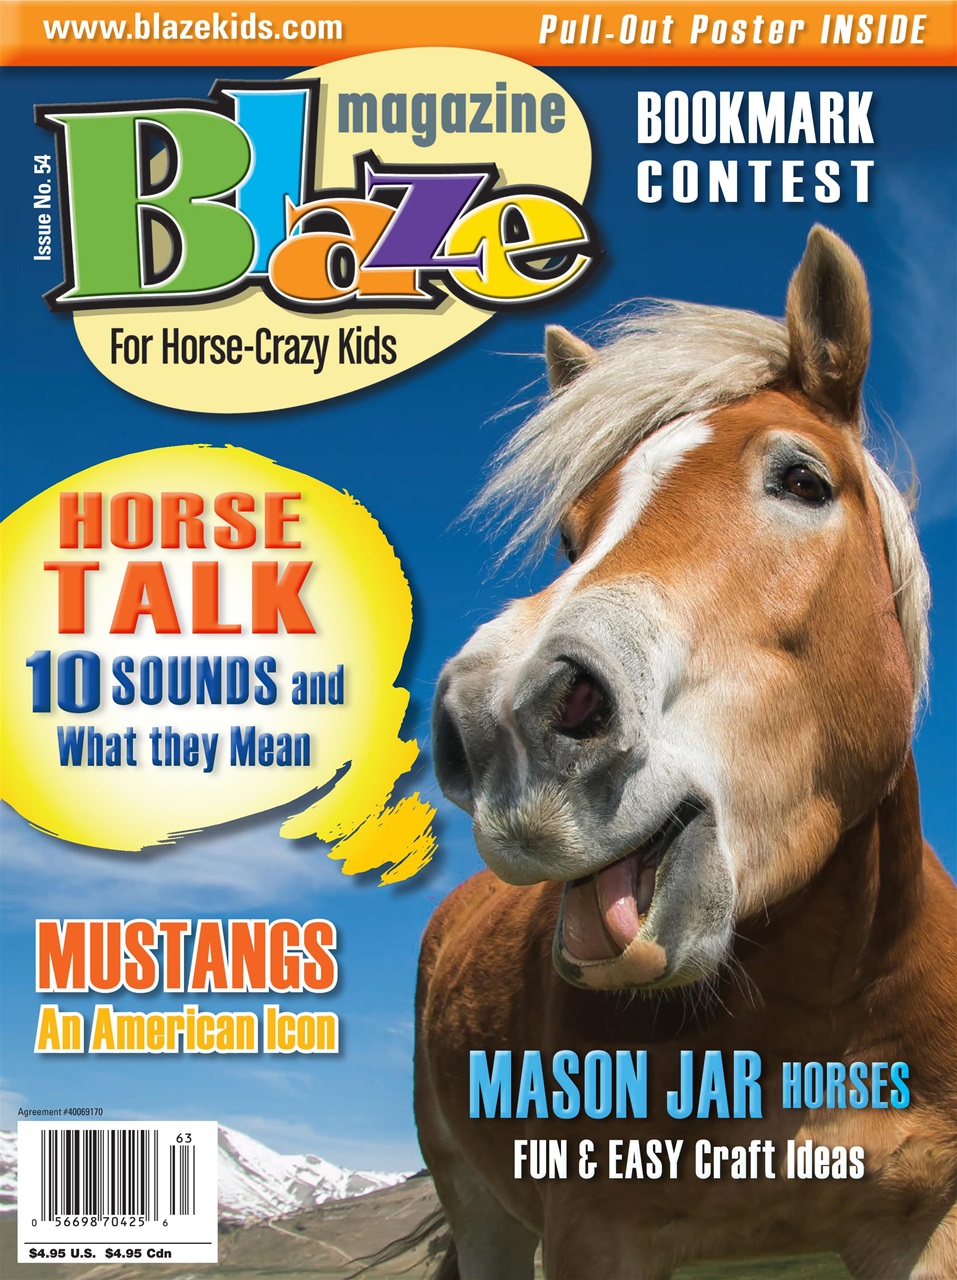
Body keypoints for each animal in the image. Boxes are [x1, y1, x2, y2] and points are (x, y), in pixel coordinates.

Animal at [416, 228, 957, 1280]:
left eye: (802, 480)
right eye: (569, 536)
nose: (501, 717)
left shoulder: (923, 1228)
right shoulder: (593, 1237)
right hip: (484, 1215)